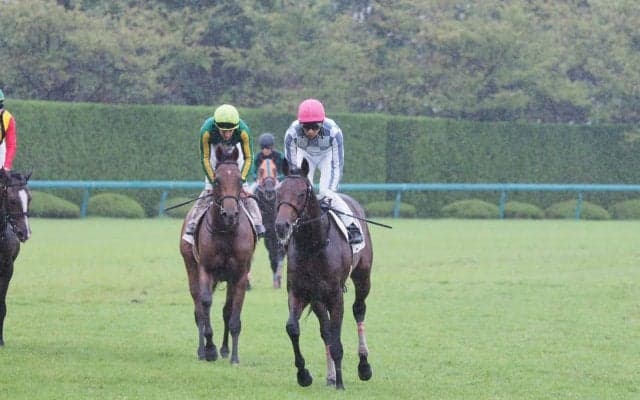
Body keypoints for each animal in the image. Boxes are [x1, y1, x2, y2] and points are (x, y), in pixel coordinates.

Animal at [179, 145, 257, 364]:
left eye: (240, 180)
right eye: (217, 180)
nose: (229, 214)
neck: (225, 231)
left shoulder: (239, 274)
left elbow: (232, 312)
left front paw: (233, 356)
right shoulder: (206, 269)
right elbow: (205, 304)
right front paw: (210, 348)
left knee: (225, 310)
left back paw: (224, 349)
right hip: (191, 266)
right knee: (198, 307)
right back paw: (202, 350)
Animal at [274, 158, 374, 390]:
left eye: (302, 193)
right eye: (278, 191)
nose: (281, 226)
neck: (313, 245)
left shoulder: (335, 296)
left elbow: (336, 338)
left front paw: (341, 383)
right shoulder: (299, 292)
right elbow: (293, 328)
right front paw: (304, 374)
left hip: (363, 277)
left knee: (359, 309)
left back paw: (364, 366)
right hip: (318, 299)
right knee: (324, 329)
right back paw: (330, 376)